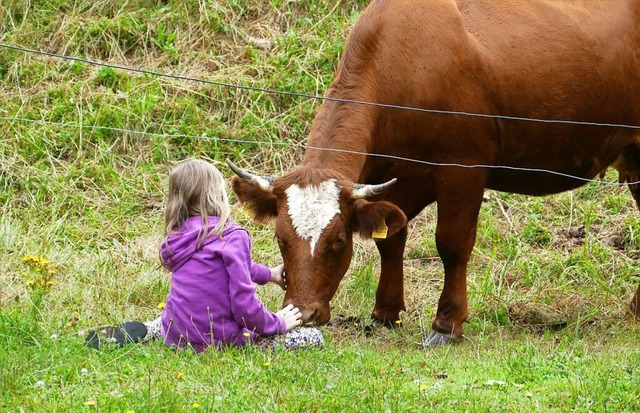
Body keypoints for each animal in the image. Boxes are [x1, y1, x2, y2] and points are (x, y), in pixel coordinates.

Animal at [228, 0, 636, 344]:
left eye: (339, 240)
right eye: (280, 238)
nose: (304, 311)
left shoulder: (463, 169)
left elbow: (452, 244)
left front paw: (447, 323)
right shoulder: (395, 178)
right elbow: (390, 239)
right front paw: (385, 312)